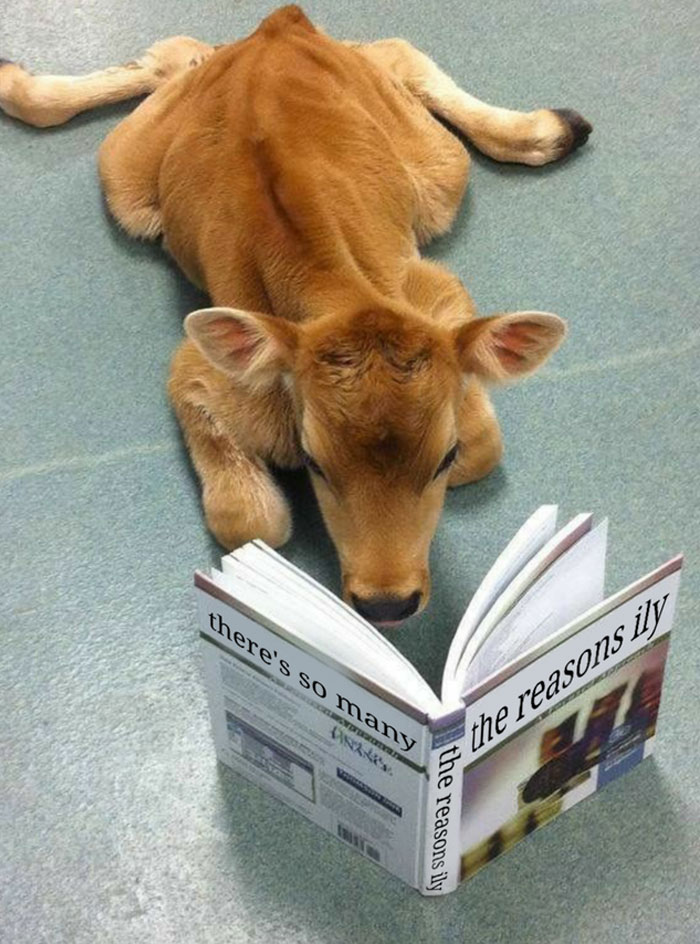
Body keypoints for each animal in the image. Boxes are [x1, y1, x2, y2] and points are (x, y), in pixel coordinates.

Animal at [0, 6, 591, 624]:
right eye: (315, 462)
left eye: (443, 457)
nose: (387, 602)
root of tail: (276, 29)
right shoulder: (195, 366)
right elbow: (249, 523)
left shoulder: (433, 287)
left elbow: (483, 444)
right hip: (127, 178)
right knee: (183, 54)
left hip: (436, 173)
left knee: (390, 55)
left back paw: (544, 131)